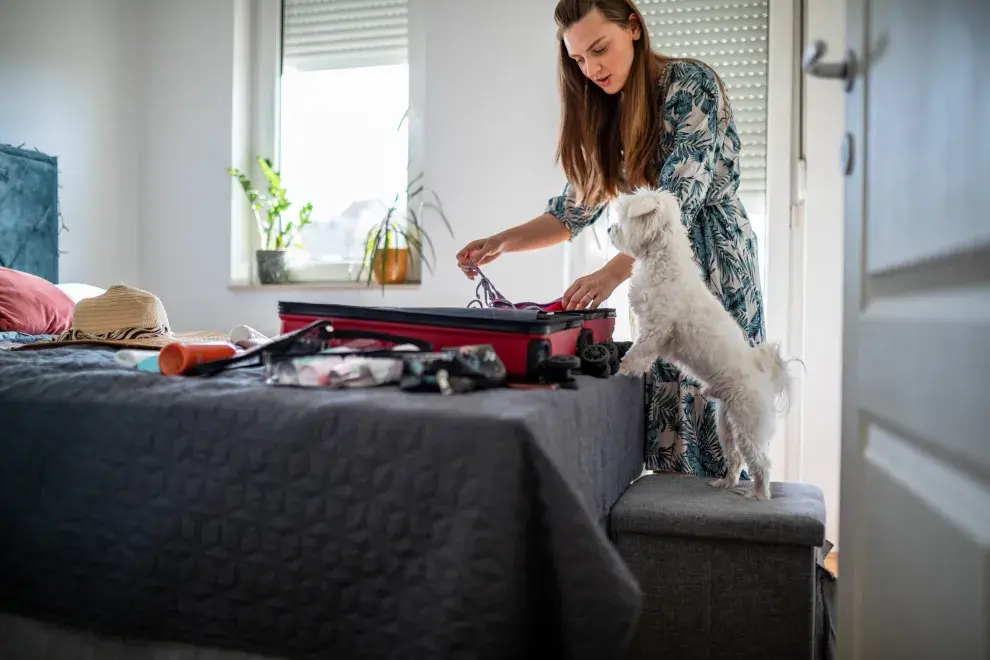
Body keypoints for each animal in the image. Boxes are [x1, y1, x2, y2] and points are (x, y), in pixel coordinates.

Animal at [608, 188, 796, 502]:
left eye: (623, 217)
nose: (611, 229)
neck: (663, 261)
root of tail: (763, 375)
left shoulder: (656, 328)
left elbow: (638, 352)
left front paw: (624, 369)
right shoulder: (653, 331)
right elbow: (643, 353)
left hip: (748, 425)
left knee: (761, 462)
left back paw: (759, 494)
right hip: (726, 425)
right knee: (735, 457)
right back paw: (726, 483)